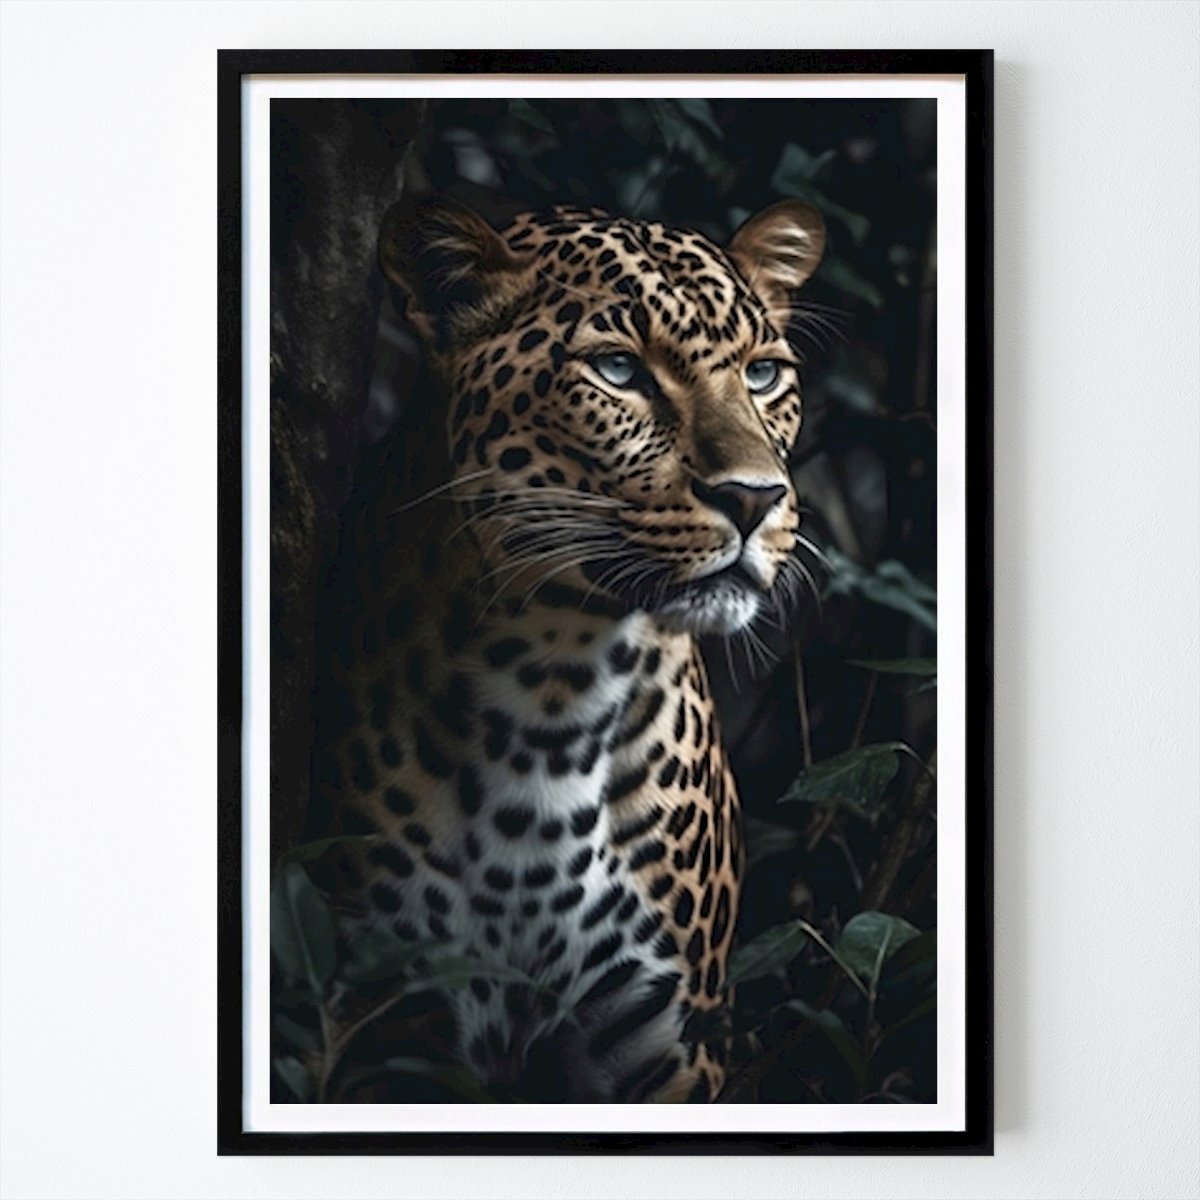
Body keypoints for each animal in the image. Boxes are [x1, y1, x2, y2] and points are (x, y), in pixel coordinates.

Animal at [308, 192, 825, 1103]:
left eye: (763, 375)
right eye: (617, 371)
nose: (755, 499)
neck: (551, 685)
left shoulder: (666, 1043)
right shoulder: (396, 1020)